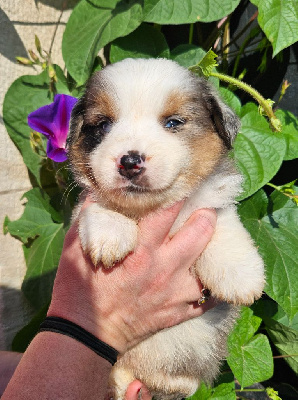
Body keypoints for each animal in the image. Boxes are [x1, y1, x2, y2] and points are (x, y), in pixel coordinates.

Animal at [66, 58, 264, 400]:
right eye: (103, 125)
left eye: (172, 123)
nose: (130, 161)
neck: (150, 209)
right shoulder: (85, 204)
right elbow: (98, 205)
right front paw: (111, 232)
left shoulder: (211, 200)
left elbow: (220, 219)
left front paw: (240, 275)